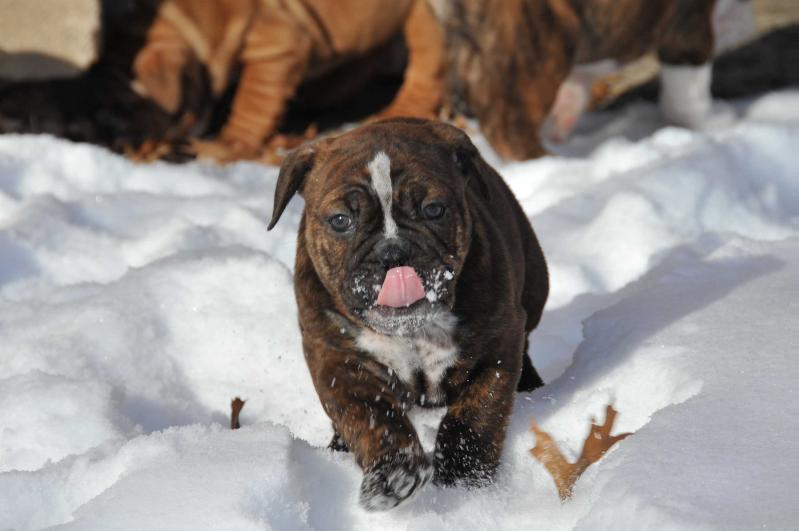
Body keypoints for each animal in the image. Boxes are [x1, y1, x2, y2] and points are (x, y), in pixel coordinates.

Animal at [268, 117, 552, 512]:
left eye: (434, 209)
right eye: (340, 220)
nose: (393, 251)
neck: (412, 331)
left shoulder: (496, 346)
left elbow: (477, 415)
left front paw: (464, 479)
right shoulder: (338, 360)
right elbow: (370, 418)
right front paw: (393, 475)